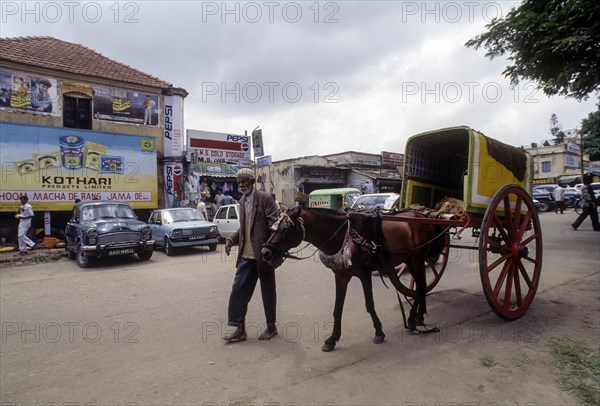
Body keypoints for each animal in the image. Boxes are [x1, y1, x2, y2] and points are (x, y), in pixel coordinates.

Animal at [262, 206, 446, 352]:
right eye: (274, 228)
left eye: (285, 230)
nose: (265, 252)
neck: (345, 234)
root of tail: (422, 215)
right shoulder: (341, 275)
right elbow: (337, 308)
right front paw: (332, 339)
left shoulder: (365, 274)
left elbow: (369, 305)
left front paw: (379, 332)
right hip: (409, 259)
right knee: (420, 285)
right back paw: (419, 315)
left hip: (417, 258)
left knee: (420, 285)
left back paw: (413, 318)